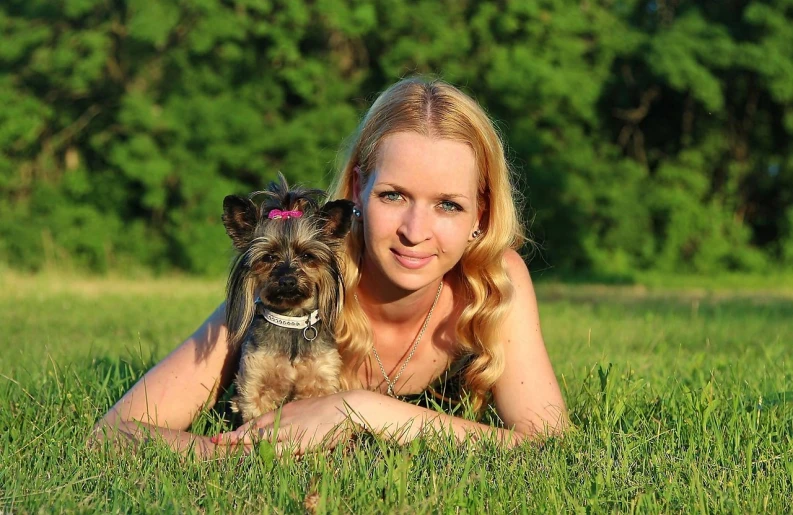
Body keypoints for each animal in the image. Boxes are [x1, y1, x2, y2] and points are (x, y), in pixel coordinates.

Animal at [218, 173, 352, 424]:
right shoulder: (255, 383)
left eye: (308, 256)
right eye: (269, 257)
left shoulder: (319, 382)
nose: (288, 280)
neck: (292, 321)